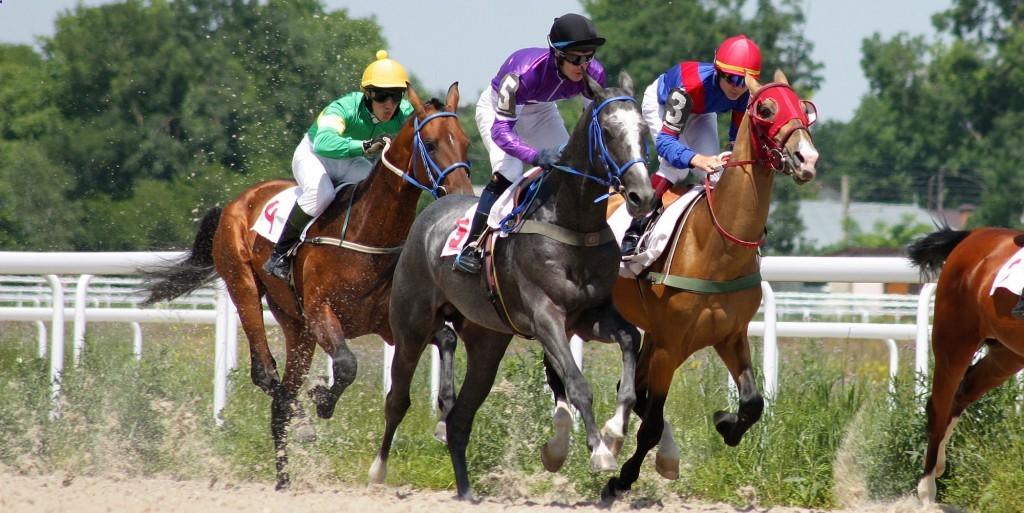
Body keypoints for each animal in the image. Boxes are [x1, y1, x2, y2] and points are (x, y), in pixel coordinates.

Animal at [141, 83, 474, 489]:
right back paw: (300, 422)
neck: (366, 232)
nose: (462, 191)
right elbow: (346, 366)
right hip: (244, 285)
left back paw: (284, 476)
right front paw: (321, 400)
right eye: (431, 142)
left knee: (279, 395)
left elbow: (447, 339)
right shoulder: (321, 313)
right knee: (265, 373)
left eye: (465, 141)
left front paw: (444, 419)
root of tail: (237, 202)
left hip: (296, 327)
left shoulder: (388, 323)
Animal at [367, 71, 656, 500]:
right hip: (410, 325)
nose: (643, 196)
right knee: (397, 398)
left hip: (486, 341)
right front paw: (600, 453)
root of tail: (431, 211)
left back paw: (466, 491)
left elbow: (629, 343)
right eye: (607, 131)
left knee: (460, 417)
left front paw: (615, 430)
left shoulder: (590, 315)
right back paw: (379, 469)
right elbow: (577, 383)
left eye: (643, 130)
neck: (571, 221)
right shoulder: (545, 316)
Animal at [597, 70, 819, 500]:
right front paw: (622, 478)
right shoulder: (671, 344)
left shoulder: (729, 336)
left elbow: (752, 402)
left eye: (804, 109)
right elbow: (651, 422)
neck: (718, 245)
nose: (807, 159)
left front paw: (725, 423)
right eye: (767, 110)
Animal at [907, 226, 1024, 504]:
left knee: (962, 393)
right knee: (938, 408)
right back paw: (927, 489)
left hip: (1007, 355)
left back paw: (939, 464)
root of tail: (973, 234)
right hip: (953, 344)